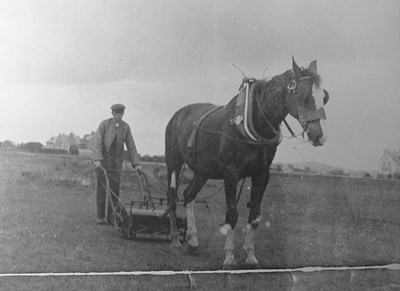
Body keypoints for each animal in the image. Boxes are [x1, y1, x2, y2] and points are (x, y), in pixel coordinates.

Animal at [164, 57, 330, 270]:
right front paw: (229, 257)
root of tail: (178, 114)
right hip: (173, 163)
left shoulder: (262, 174)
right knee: (172, 196)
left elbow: (255, 216)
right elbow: (232, 214)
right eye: (303, 95)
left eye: (324, 97)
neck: (255, 120)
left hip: (203, 171)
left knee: (188, 195)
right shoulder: (231, 173)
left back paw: (192, 240)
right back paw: (176, 240)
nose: (320, 135)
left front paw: (251, 256)